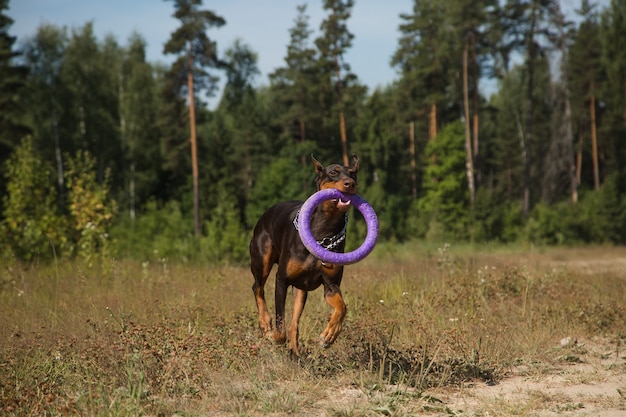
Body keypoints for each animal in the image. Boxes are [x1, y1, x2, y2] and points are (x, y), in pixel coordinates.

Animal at [246, 153, 358, 354]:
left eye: (353, 173)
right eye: (333, 172)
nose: (350, 183)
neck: (323, 231)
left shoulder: (331, 285)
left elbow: (342, 307)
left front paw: (329, 335)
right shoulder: (281, 280)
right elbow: (280, 324)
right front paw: (274, 336)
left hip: (300, 289)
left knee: (294, 321)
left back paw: (296, 352)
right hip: (262, 260)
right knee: (257, 287)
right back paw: (265, 324)